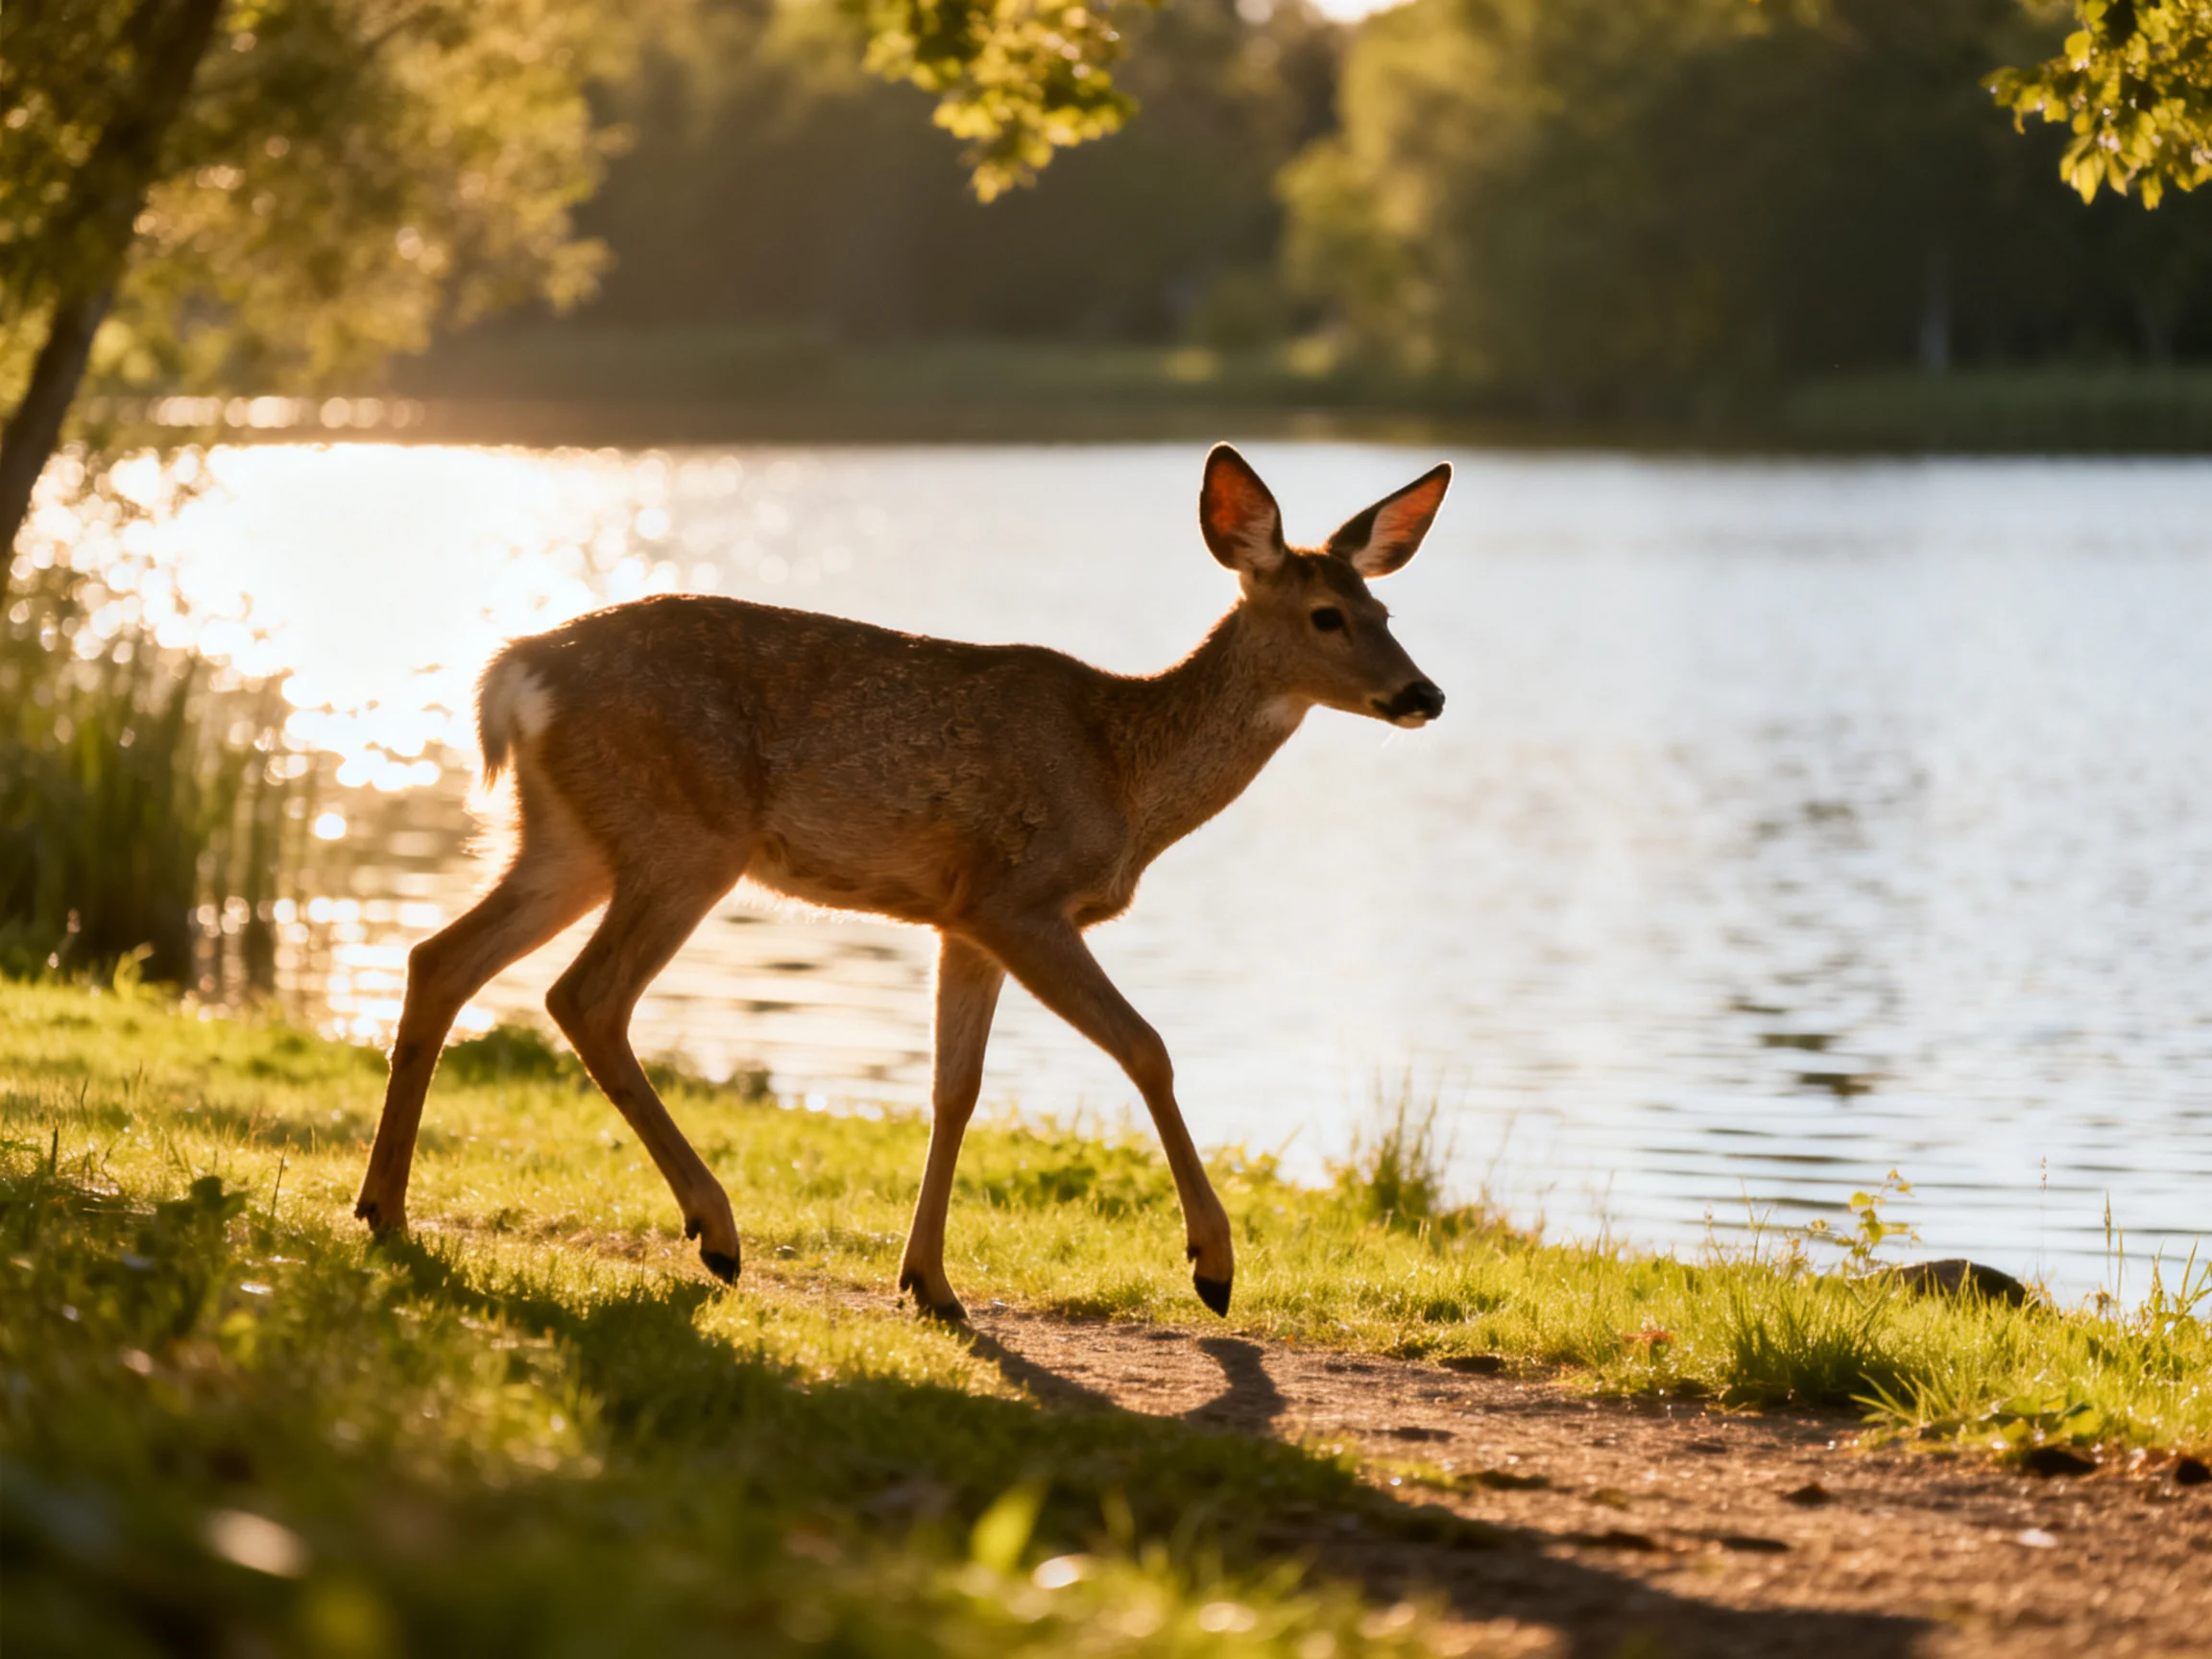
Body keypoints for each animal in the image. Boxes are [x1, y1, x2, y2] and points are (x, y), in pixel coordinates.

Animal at [353, 444, 1451, 1319]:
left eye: (1386, 607)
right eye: (1326, 616)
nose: (1425, 693)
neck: (1124, 774)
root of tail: (514, 671)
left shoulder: (960, 919)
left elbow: (952, 1089)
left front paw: (928, 1282)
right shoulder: (1020, 897)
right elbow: (1148, 1048)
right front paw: (1212, 1265)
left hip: (570, 838)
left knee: (440, 958)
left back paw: (386, 1209)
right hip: (685, 838)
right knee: (584, 995)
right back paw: (716, 1232)